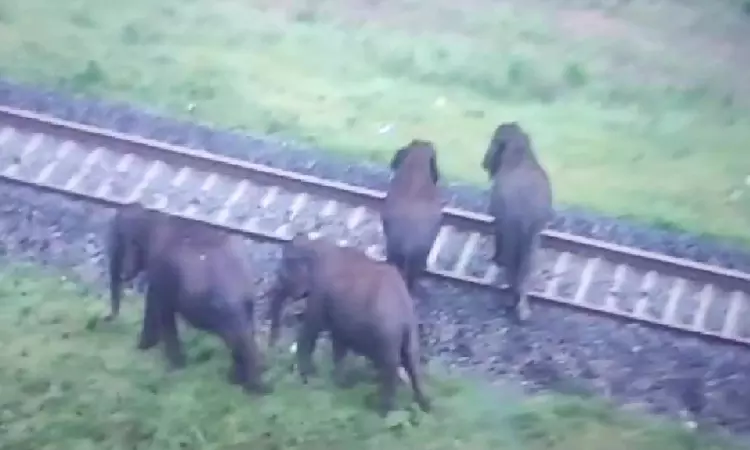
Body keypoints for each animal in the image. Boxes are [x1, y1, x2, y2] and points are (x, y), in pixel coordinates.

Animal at [105, 202, 271, 394]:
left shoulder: (161, 269)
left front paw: (167, 363)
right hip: (245, 305)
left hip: (225, 308)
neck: (154, 215)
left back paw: (254, 388)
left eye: (118, 239)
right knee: (245, 334)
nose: (106, 318)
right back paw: (240, 380)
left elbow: (160, 308)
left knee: (236, 338)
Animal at [268, 233, 430, 416]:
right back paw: (424, 406)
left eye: (281, 275)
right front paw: (338, 383)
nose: (272, 346)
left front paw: (308, 376)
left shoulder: (320, 291)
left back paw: (383, 409)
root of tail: (404, 312)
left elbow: (312, 328)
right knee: (412, 360)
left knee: (390, 365)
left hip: (386, 333)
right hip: (409, 332)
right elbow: (339, 342)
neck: (316, 244)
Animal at [481, 122, 553, 322]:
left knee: (514, 260)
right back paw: (521, 306)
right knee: (527, 262)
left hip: (515, 227)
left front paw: (495, 260)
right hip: (531, 233)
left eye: (493, 141)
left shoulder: (499, 215)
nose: (484, 163)